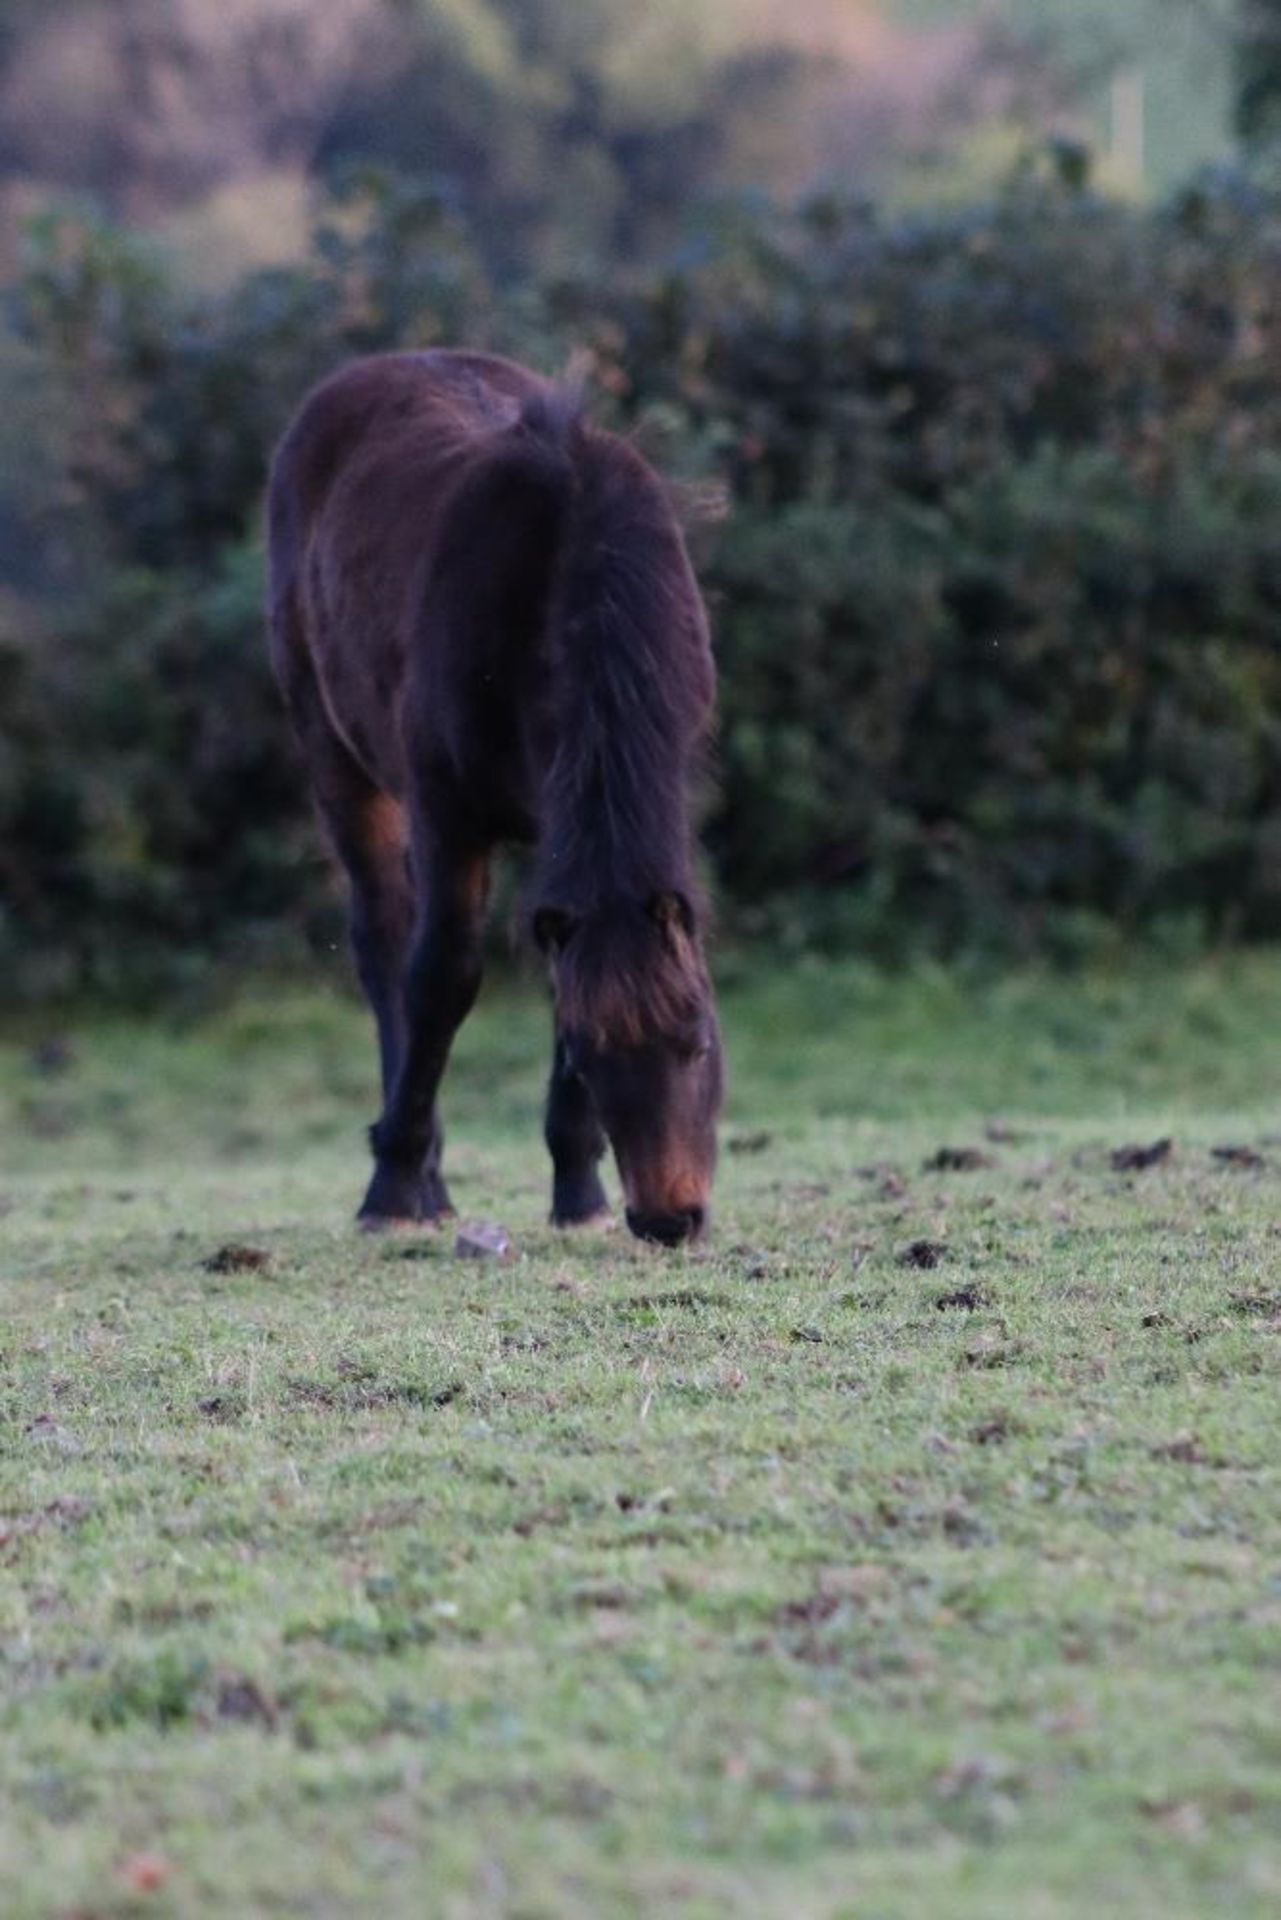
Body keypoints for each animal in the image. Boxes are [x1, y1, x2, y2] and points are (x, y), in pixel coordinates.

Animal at [265, 349, 725, 1244]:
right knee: (385, 943)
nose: (668, 1218)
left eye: (694, 1040)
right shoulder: (449, 814)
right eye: (595, 1056)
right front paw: (392, 1186)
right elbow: (441, 979)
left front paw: (577, 1191)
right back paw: (421, 1179)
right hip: (338, 759)